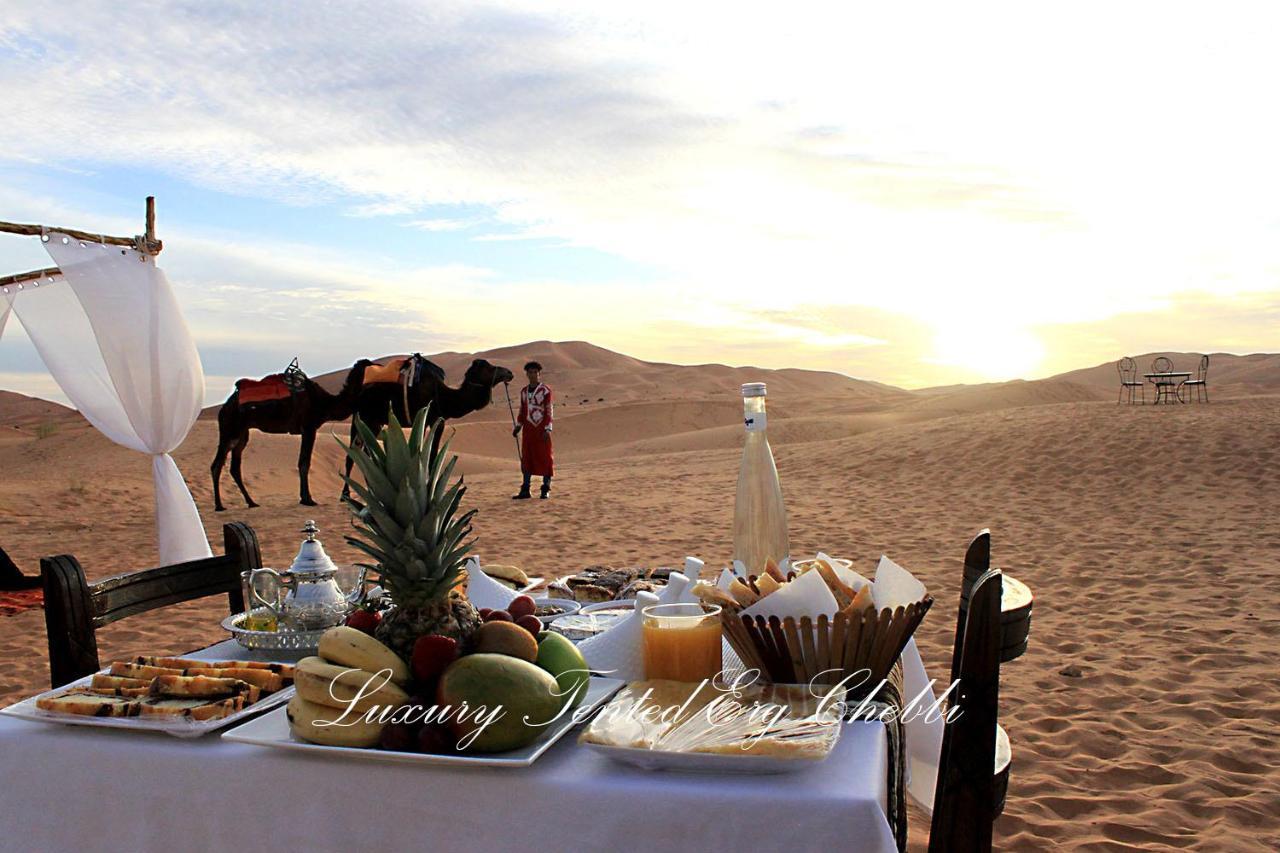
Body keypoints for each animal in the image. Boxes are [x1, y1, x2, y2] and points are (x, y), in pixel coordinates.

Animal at [211, 356, 373, 507]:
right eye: (368, 364)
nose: (377, 365)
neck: (325, 403)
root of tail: (224, 408)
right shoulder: (309, 428)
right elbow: (304, 463)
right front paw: (308, 499)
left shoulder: (306, 430)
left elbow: (302, 462)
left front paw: (303, 498)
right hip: (230, 429)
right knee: (217, 465)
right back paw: (219, 505)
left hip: (242, 433)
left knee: (234, 467)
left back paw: (251, 502)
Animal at [345, 353, 519, 499]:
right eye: (488, 367)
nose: (509, 372)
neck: (444, 397)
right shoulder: (428, 417)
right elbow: (427, 455)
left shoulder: (439, 420)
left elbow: (433, 455)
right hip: (363, 417)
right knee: (353, 453)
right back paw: (346, 494)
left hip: (374, 422)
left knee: (364, 452)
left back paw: (371, 490)